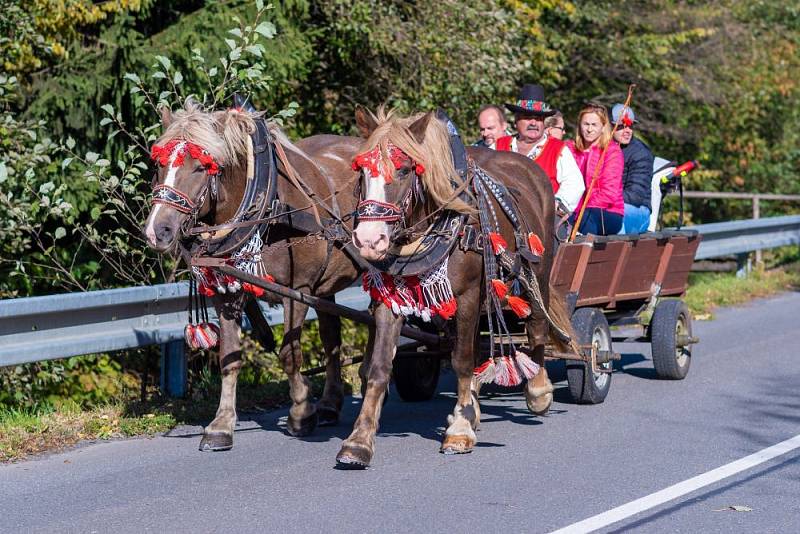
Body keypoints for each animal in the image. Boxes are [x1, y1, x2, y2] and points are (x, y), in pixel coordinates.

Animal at [144, 101, 362, 452]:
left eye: (201, 168)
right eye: (158, 166)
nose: (157, 231)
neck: (268, 205)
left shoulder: (297, 290)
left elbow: (289, 355)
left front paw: (301, 413)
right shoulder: (227, 292)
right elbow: (229, 358)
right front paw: (221, 425)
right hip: (323, 287)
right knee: (331, 339)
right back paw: (330, 404)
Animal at [338, 108, 576, 468]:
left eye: (404, 169)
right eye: (361, 171)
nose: (369, 239)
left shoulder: (466, 296)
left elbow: (462, 359)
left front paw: (460, 430)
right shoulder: (391, 300)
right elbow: (379, 367)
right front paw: (359, 441)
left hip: (536, 272)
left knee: (535, 327)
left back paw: (537, 390)